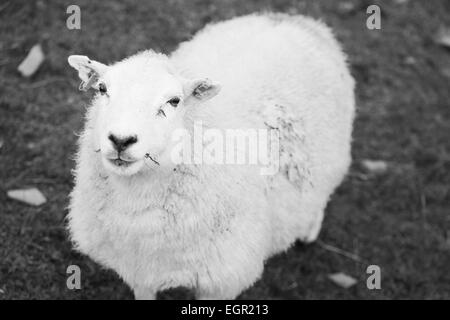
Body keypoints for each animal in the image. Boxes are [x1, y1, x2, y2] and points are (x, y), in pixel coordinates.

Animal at [67, 13, 356, 300]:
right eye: (102, 89)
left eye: (174, 101)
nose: (121, 139)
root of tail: (298, 19)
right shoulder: (139, 272)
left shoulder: (222, 281)